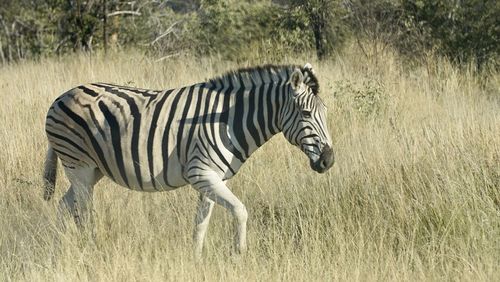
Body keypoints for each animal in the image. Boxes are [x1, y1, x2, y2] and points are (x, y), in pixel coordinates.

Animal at [42, 62, 332, 256]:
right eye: (306, 113)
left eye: (326, 112)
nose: (328, 161)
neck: (229, 120)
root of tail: (61, 96)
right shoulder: (200, 173)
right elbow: (240, 210)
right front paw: (240, 253)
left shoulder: (212, 178)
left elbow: (201, 223)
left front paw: (196, 258)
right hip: (78, 164)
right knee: (83, 213)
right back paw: (90, 249)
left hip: (91, 170)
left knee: (64, 207)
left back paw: (61, 247)